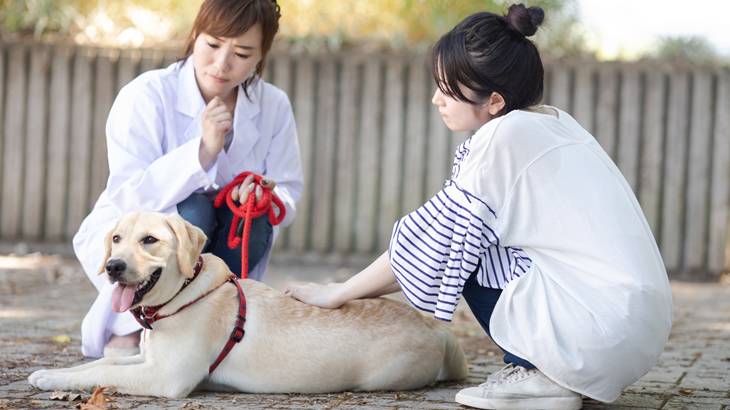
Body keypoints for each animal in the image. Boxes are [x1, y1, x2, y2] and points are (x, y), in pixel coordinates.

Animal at [29, 211, 466, 398]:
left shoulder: (165, 377)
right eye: (117, 239)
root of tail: (436, 327)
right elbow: (97, 366)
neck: (185, 292)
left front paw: (52, 379)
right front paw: (49, 374)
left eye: (150, 240)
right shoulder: (148, 359)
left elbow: (102, 373)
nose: (113, 266)